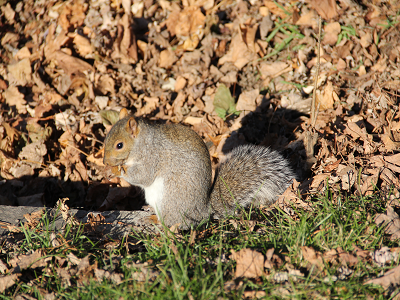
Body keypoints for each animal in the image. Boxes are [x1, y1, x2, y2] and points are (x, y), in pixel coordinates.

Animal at [103, 109, 296, 229]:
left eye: (119, 145)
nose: (105, 161)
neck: (143, 143)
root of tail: (204, 210)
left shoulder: (152, 157)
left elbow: (143, 176)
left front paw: (116, 170)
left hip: (169, 201)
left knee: (174, 223)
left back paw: (156, 221)